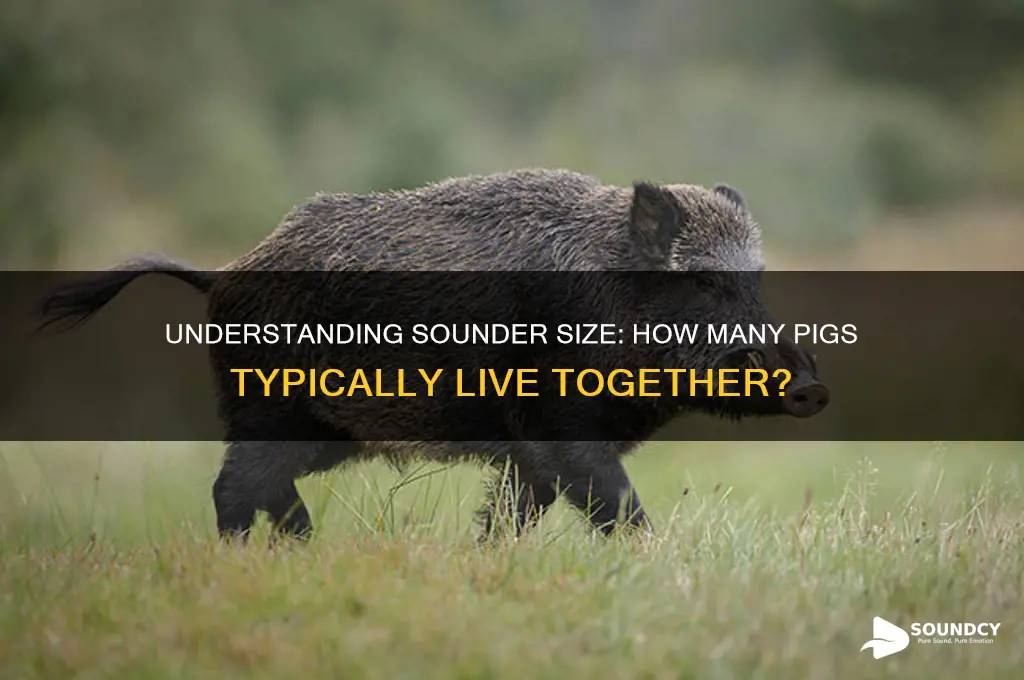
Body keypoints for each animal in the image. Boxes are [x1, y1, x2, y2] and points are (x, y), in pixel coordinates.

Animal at [37, 168, 829, 543]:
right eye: (702, 282)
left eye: (755, 281)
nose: (812, 389)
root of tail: (223, 274)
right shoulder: (560, 428)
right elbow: (615, 506)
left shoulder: (529, 450)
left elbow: (517, 513)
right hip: (269, 406)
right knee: (233, 489)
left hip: (323, 431)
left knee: (265, 490)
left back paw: (303, 549)